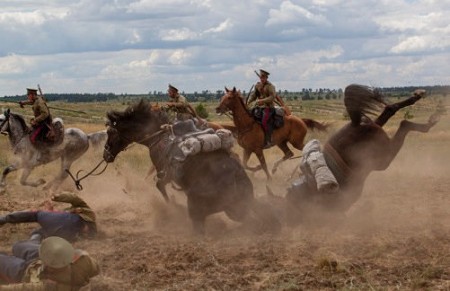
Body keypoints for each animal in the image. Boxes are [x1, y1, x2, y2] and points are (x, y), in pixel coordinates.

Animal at [104, 100, 282, 235]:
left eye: (110, 132)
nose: (106, 154)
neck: (158, 136)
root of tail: (235, 180)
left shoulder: (165, 173)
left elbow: (160, 186)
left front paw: (173, 206)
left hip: (210, 209)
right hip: (237, 207)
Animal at [284, 84, 442, 226]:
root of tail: (354, 125)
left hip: (383, 157)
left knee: (402, 122)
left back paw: (426, 114)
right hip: (379, 146)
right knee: (392, 111)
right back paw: (424, 106)